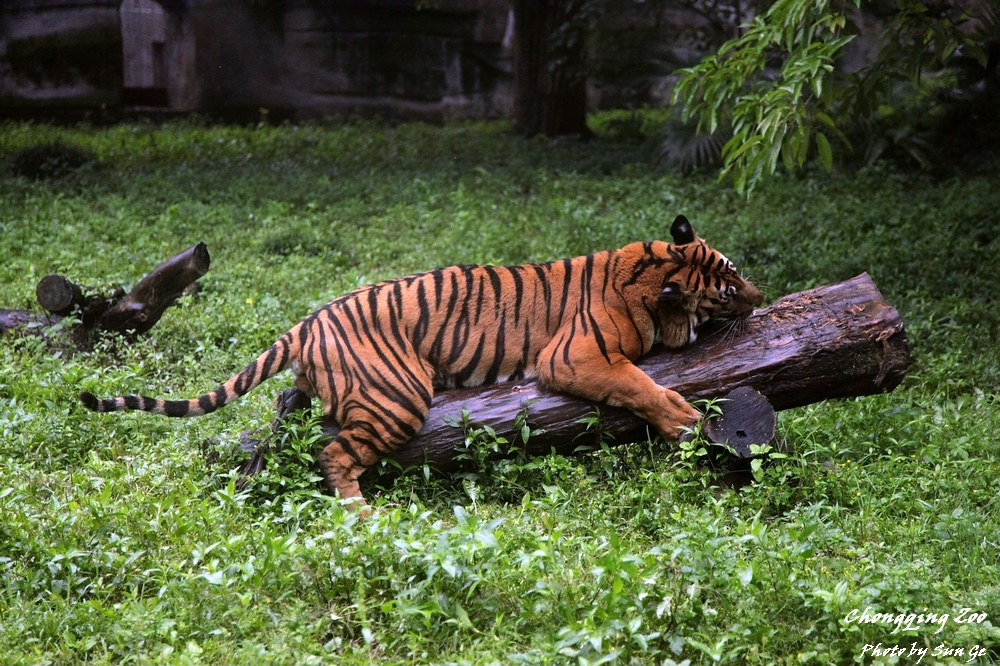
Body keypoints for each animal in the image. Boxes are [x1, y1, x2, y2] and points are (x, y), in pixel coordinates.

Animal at [80, 215, 763, 507]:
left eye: (735, 271)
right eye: (730, 289)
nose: (762, 299)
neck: (651, 271)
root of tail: (308, 322)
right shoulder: (572, 356)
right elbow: (638, 383)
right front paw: (683, 421)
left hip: (317, 388)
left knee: (283, 407)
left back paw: (252, 476)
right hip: (399, 396)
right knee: (333, 454)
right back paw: (362, 517)